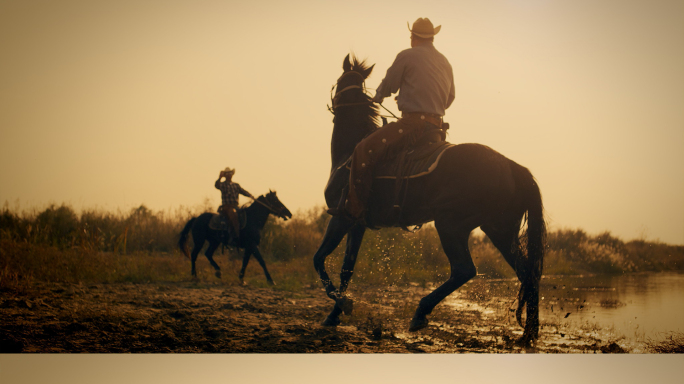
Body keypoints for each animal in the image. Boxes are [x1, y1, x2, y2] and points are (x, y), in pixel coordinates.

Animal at [312, 54, 548, 342]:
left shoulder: (341, 218)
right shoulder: (357, 224)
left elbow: (319, 259)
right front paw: (334, 314)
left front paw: (341, 305)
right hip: (500, 231)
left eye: (338, 81)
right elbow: (347, 268)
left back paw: (420, 313)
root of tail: (512, 167)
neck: (349, 151)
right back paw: (529, 332)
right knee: (527, 273)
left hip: (451, 224)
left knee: (464, 269)